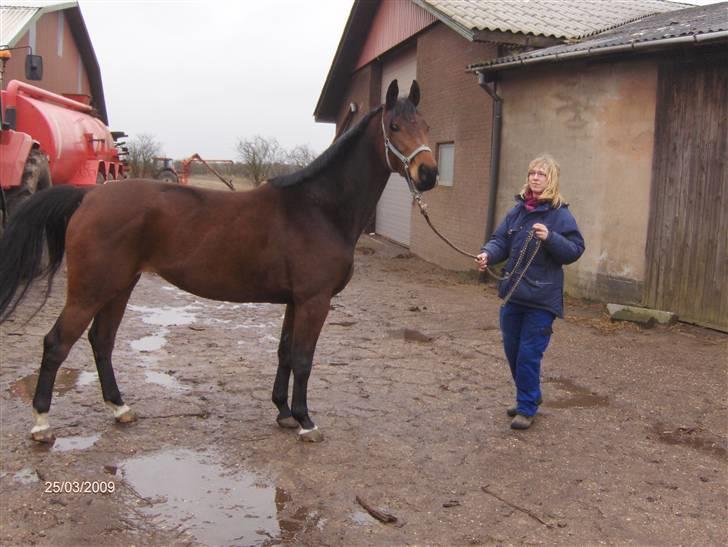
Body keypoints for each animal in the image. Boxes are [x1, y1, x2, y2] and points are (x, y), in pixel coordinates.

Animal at [0, 78, 438, 446]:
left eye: (427, 126)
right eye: (395, 127)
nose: (428, 174)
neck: (319, 208)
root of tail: (88, 196)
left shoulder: (294, 301)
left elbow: (284, 353)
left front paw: (283, 413)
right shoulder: (314, 301)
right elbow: (303, 359)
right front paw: (305, 421)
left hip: (120, 286)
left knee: (101, 341)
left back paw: (120, 409)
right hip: (91, 289)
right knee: (57, 342)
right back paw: (41, 424)